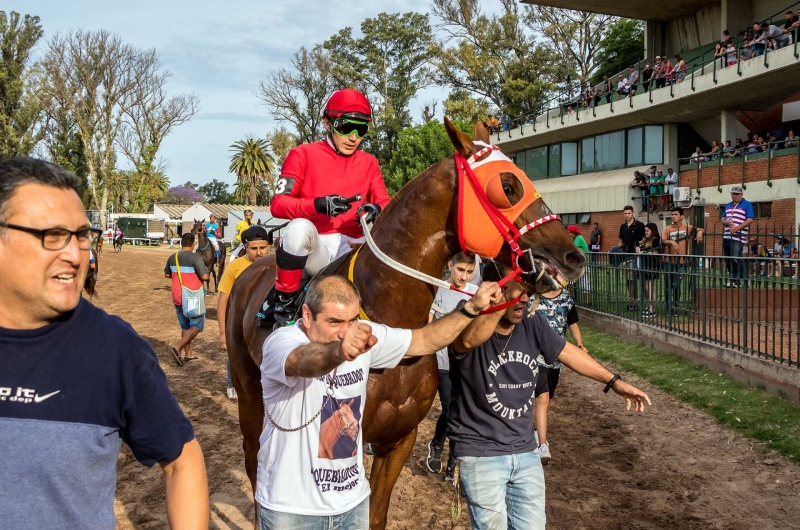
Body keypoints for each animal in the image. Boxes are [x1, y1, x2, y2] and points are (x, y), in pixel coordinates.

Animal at [225, 117, 588, 524]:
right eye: (507, 187)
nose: (574, 257)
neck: (388, 314)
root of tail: (252, 269)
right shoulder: (349, 441)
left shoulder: (399, 440)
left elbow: (376, 514)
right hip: (249, 389)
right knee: (254, 456)